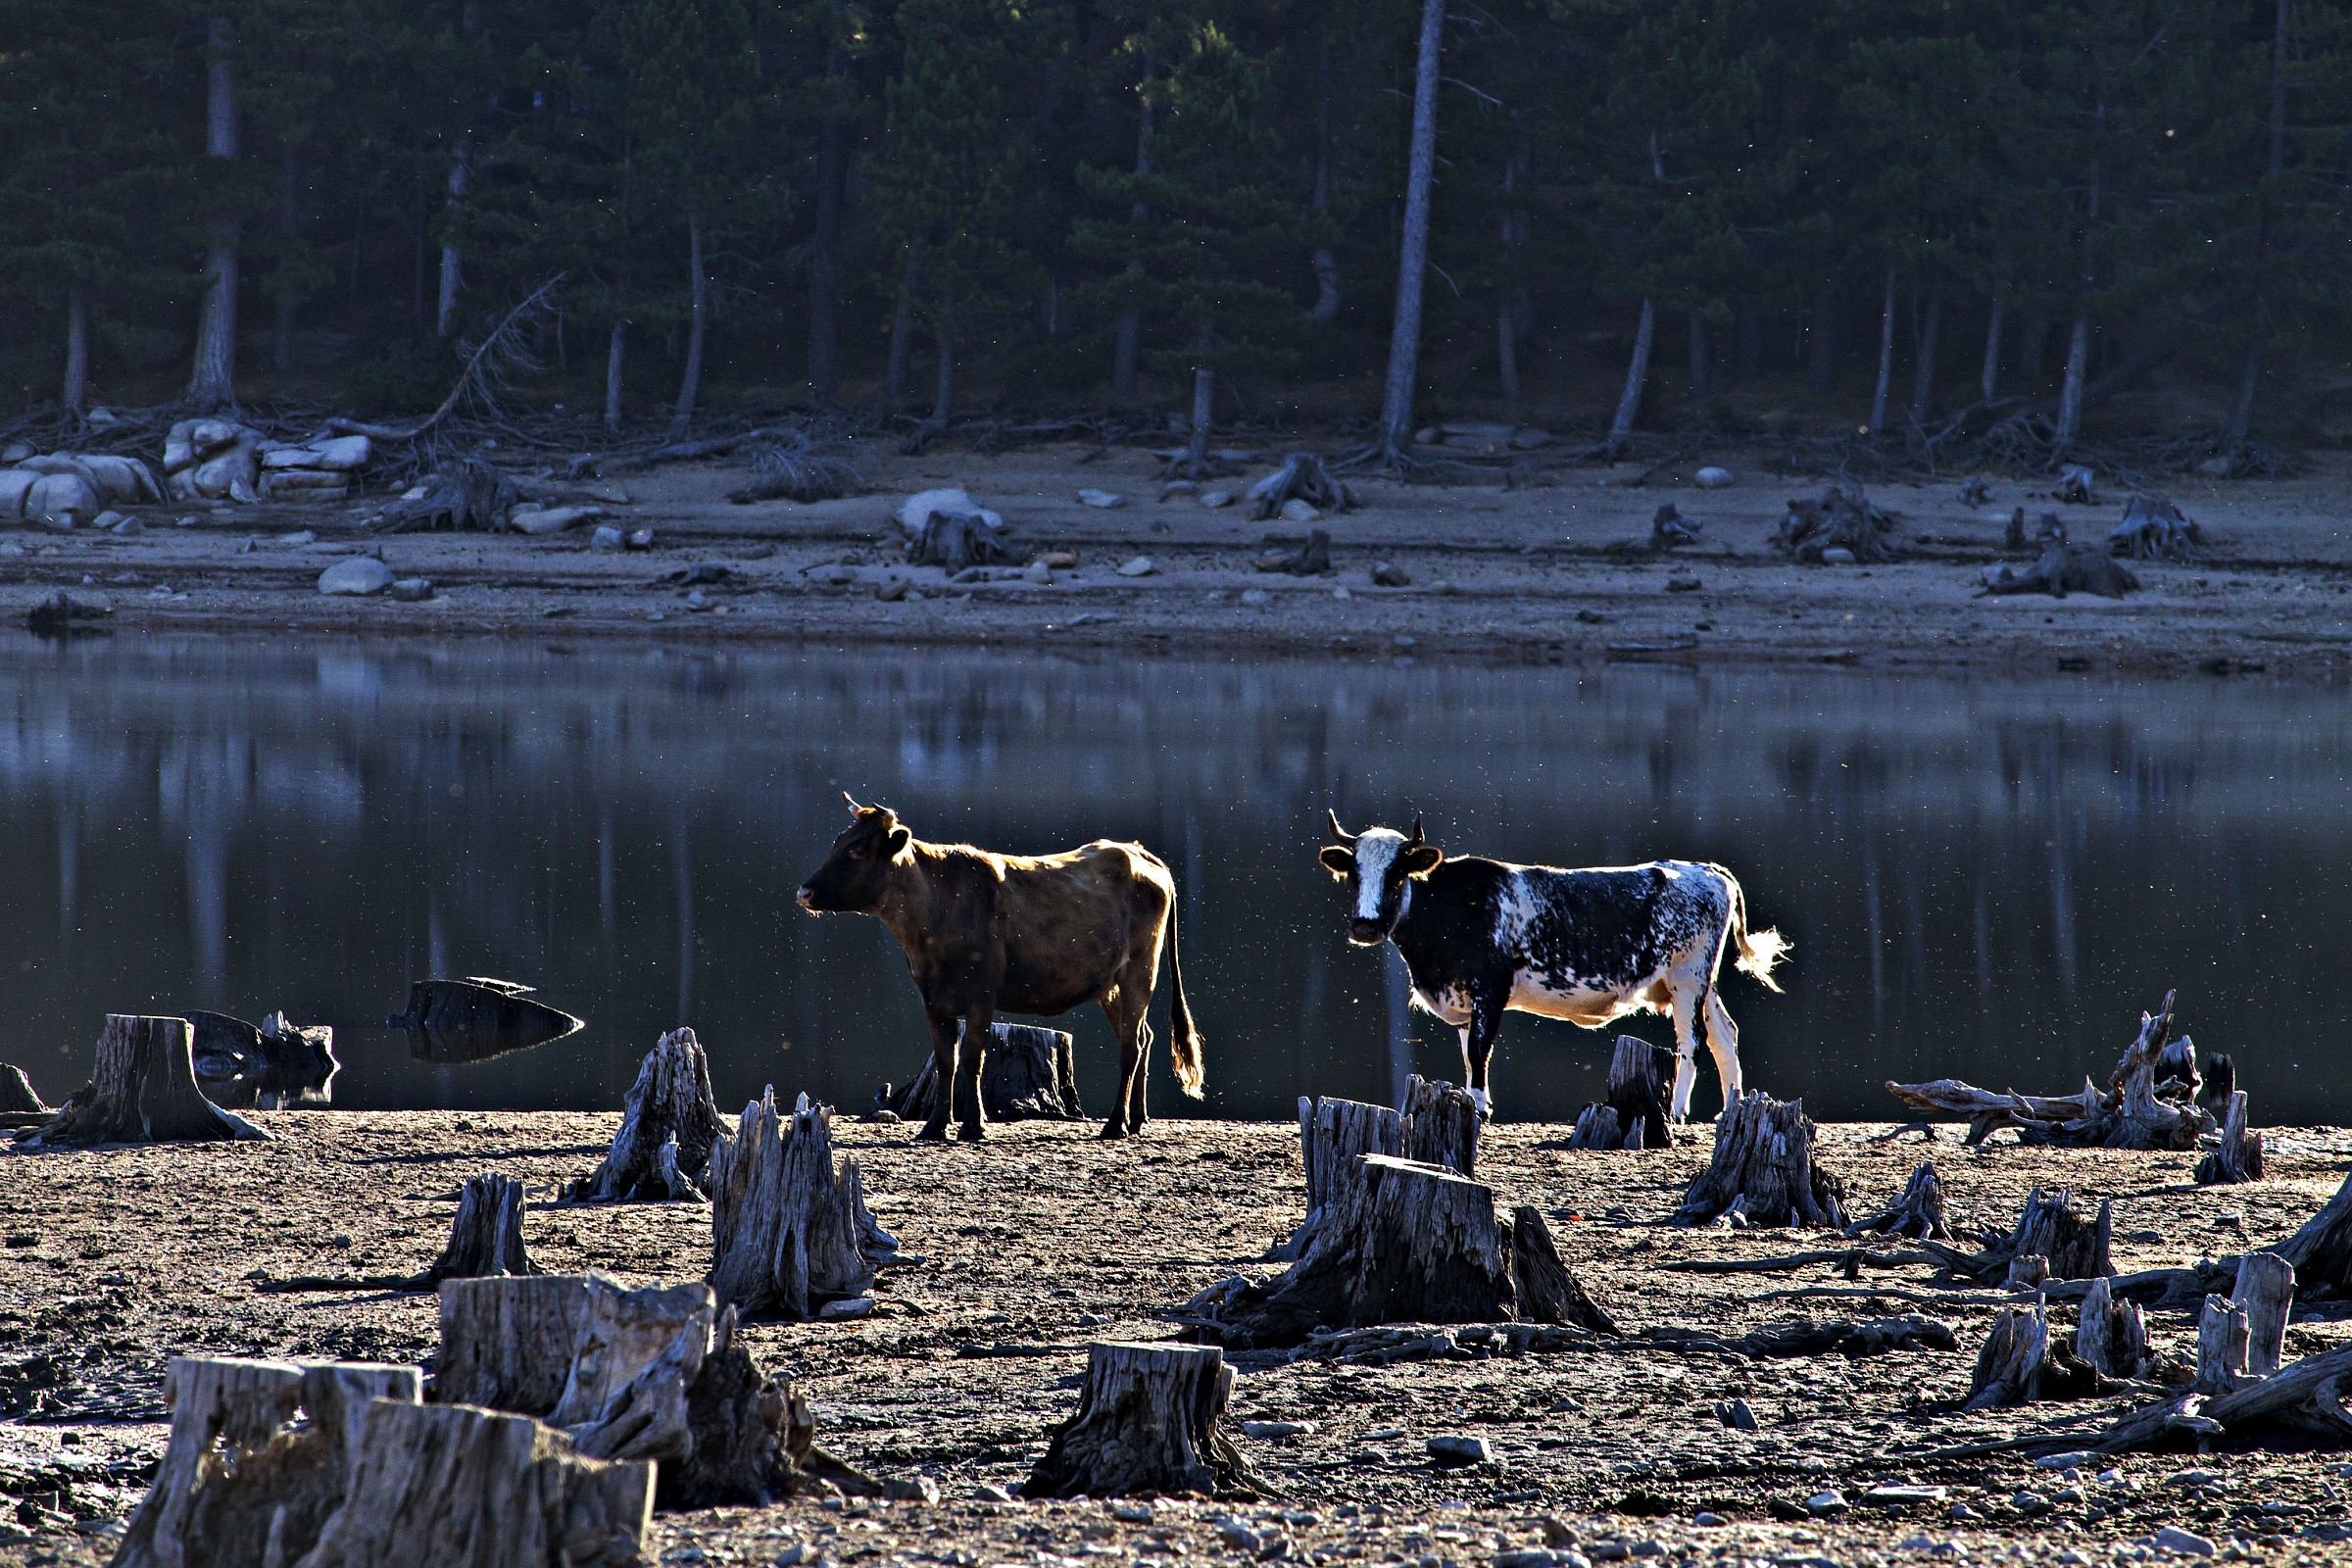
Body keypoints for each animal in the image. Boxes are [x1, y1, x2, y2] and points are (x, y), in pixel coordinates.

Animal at [796, 796, 1205, 1142]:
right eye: (838, 842)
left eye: (859, 849)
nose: (804, 892)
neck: (935, 912)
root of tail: (1136, 851)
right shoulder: (933, 1000)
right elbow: (946, 1061)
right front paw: (935, 1126)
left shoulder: (981, 996)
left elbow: (972, 1058)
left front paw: (973, 1126)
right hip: (1110, 985)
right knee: (1142, 1037)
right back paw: (1137, 1118)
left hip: (1140, 970)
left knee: (1131, 1046)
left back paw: (1116, 1123)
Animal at [1317, 812, 1787, 1121]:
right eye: (1354, 875)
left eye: (1397, 874)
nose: (1365, 926)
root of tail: (1704, 868)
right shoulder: (1464, 1000)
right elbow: (1469, 1054)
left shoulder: (1491, 989)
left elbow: (1479, 1051)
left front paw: (1480, 1108)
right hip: (1699, 983)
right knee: (1724, 1035)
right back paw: (1730, 1109)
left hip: (1687, 978)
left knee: (1692, 1040)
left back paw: (1675, 1111)